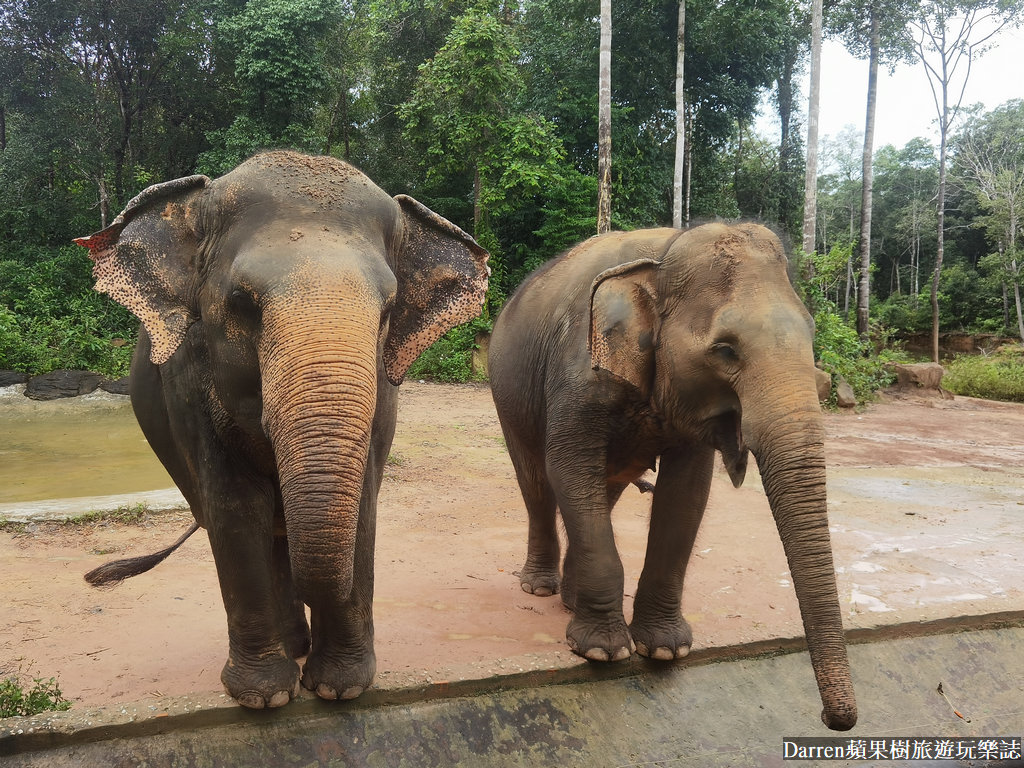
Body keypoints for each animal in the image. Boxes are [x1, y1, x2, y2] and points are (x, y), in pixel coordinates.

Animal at [74, 153, 489, 712]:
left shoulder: (384, 392)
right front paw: (264, 698)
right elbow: (235, 509)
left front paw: (339, 689)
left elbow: (363, 505)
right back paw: (292, 649)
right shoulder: (188, 385)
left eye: (387, 311)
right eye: (242, 303)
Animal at [487, 222, 856, 733]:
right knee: (538, 482)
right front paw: (602, 651)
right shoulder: (578, 373)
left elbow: (688, 492)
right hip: (507, 391)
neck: (666, 254)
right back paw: (541, 589)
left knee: (603, 490)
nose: (833, 720)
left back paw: (571, 599)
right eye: (726, 349)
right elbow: (569, 463)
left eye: (812, 333)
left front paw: (664, 650)